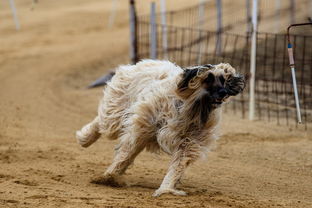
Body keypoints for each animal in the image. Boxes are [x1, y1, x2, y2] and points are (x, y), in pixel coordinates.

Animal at [75, 59, 244, 196]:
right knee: (103, 122)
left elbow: (178, 165)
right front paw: (109, 176)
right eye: (208, 78)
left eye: (223, 80)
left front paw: (167, 188)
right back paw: (85, 138)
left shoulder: (190, 141)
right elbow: (126, 153)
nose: (224, 92)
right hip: (118, 108)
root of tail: (141, 63)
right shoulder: (143, 125)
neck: (192, 108)